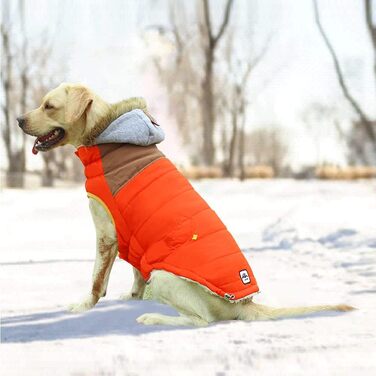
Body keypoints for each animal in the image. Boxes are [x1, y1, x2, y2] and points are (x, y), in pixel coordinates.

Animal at [16, 83, 352, 326]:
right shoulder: (134, 237)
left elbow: (97, 280)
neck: (104, 133)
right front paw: (133, 296)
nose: (18, 119)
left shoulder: (106, 233)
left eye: (49, 105)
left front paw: (83, 306)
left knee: (201, 321)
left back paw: (153, 316)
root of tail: (246, 302)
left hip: (164, 276)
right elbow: (135, 272)